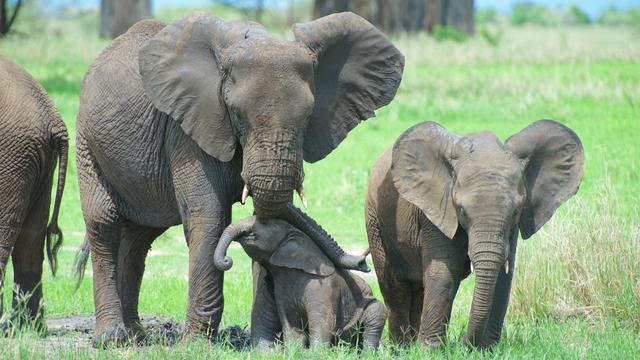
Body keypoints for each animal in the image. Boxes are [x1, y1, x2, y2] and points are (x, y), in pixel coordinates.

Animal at [214, 215, 384, 350]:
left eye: (263, 221)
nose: (227, 260)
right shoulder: (282, 293)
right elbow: (292, 326)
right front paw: (295, 352)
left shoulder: (323, 288)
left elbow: (322, 323)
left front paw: (315, 354)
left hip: (371, 307)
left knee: (376, 317)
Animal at [362, 120, 584, 348]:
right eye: (461, 210)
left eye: (516, 211)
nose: (463, 343)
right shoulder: (437, 210)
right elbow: (444, 271)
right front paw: (431, 350)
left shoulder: (512, 227)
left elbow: (503, 277)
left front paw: (487, 349)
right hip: (375, 220)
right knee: (395, 286)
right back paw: (403, 347)